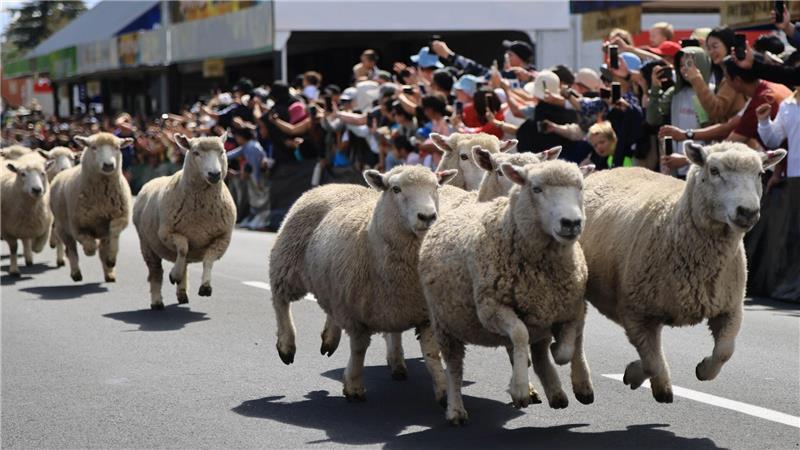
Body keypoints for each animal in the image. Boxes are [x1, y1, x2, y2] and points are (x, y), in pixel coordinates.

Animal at [50, 132, 133, 282]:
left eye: (117, 147)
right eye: (93, 147)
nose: (108, 165)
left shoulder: (120, 217)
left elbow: (114, 233)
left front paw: (111, 259)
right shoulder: (78, 226)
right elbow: (89, 247)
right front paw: (91, 250)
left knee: (101, 248)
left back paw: (109, 273)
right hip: (62, 227)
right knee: (71, 249)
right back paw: (76, 273)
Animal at [132, 134, 236, 310]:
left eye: (222, 152)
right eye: (196, 153)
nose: (215, 174)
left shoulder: (222, 237)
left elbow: (208, 260)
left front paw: (205, 287)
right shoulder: (167, 232)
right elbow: (182, 248)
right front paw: (174, 275)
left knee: (184, 263)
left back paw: (182, 293)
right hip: (146, 244)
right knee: (156, 272)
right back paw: (157, 301)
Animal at [269, 165, 458, 402]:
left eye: (436, 187)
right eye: (395, 189)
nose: (428, 216)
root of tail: (330, 184)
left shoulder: (425, 314)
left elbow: (431, 353)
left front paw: (443, 390)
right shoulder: (357, 314)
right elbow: (359, 349)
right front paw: (354, 387)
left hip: (335, 283)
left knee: (331, 309)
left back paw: (331, 339)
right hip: (287, 260)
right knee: (280, 299)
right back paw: (286, 345)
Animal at [419, 160, 594, 425]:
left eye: (581, 187)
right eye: (536, 189)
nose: (572, 222)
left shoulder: (573, 306)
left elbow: (568, 346)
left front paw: (562, 357)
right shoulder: (491, 308)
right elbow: (520, 335)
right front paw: (519, 390)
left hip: (538, 317)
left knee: (544, 353)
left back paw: (562, 391)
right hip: (445, 323)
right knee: (454, 368)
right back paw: (455, 409)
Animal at [579, 141, 786, 404]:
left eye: (760, 174)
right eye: (714, 170)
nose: (747, 212)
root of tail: (606, 170)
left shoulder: (730, 306)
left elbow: (725, 352)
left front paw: (703, 369)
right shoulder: (636, 312)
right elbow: (653, 363)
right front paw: (642, 378)